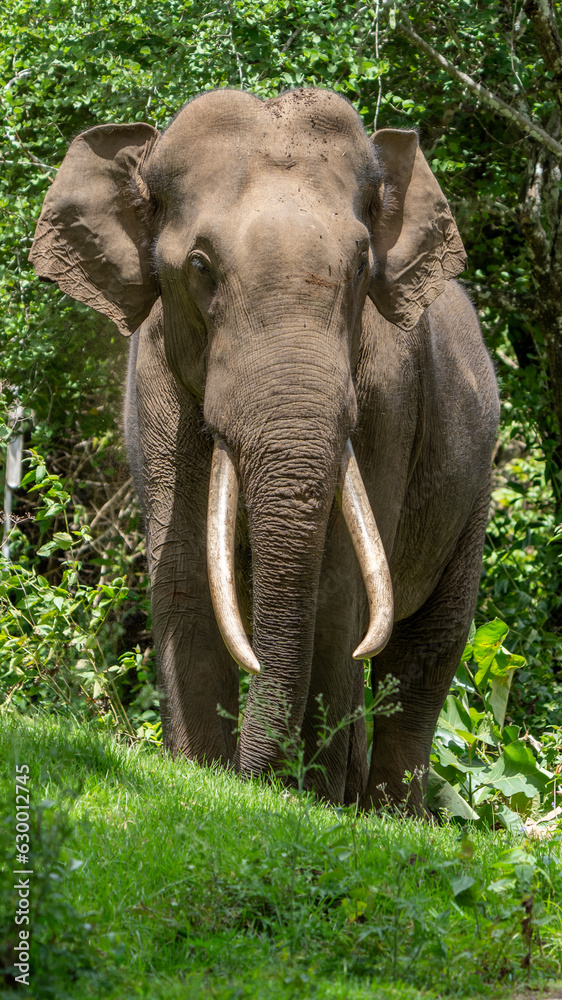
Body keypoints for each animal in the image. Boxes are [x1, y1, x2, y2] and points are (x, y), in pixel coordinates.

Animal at [29, 87, 499, 813]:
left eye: (361, 268)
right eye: (199, 267)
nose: (252, 780)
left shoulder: (389, 398)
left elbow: (340, 589)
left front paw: (308, 801)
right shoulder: (153, 379)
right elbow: (184, 573)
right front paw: (204, 773)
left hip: (473, 481)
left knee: (428, 647)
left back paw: (386, 813)